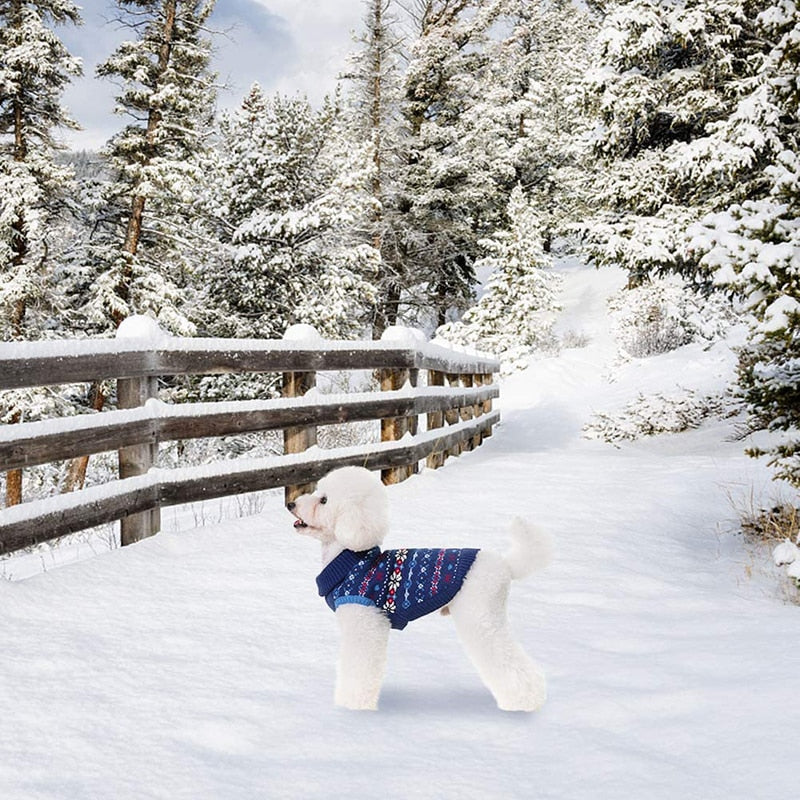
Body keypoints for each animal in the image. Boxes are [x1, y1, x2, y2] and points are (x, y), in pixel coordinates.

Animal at [284, 466, 552, 708]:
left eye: (324, 500)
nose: (291, 504)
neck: (350, 559)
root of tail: (506, 564)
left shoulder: (365, 623)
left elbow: (359, 670)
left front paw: (351, 708)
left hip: (480, 615)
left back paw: (523, 703)